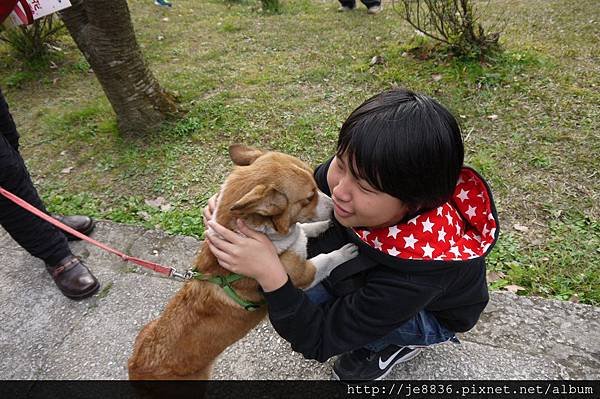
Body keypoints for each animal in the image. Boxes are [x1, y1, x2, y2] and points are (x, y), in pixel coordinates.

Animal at [129, 145, 356, 380]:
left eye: (315, 182)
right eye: (309, 198)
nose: (335, 207)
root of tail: (135, 367)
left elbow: (304, 229)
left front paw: (321, 226)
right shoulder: (302, 274)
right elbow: (326, 259)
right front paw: (346, 252)